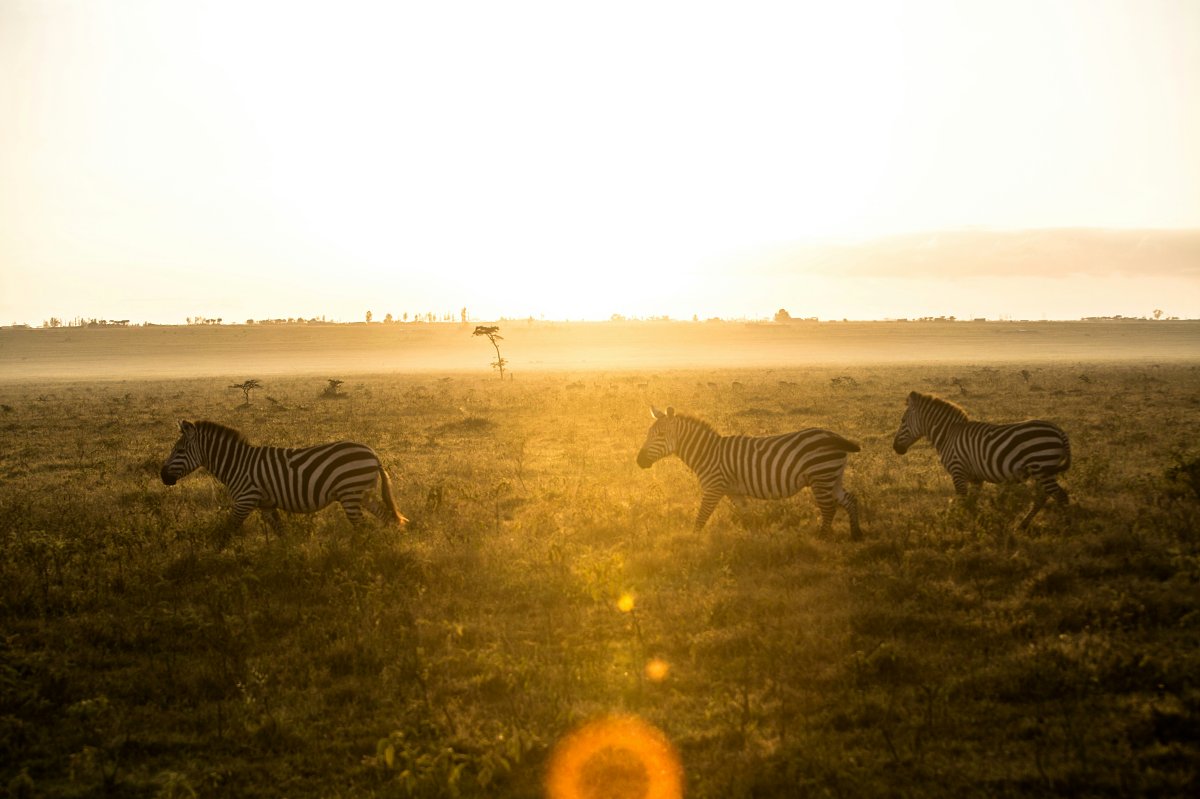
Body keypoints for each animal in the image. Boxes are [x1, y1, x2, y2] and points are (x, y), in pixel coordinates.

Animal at [160, 420, 407, 536]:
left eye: (179, 451)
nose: (163, 476)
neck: (237, 464)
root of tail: (374, 454)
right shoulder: (266, 505)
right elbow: (281, 533)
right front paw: (287, 556)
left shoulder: (245, 500)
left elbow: (227, 531)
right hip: (362, 493)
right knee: (387, 517)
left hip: (351, 493)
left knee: (363, 527)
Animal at [637, 406, 862, 539]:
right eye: (648, 434)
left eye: (661, 435)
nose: (639, 461)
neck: (708, 452)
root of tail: (833, 435)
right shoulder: (734, 491)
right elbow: (747, 516)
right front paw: (755, 540)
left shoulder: (714, 488)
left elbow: (701, 518)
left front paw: (694, 542)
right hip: (832, 478)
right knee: (850, 500)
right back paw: (856, 534)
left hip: (821, 477)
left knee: (829, 509)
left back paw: (823, 537)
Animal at [891, 391, 1071, 529]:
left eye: (902, 421)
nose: (895, 448)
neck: (948, 435)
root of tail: (1059, 430)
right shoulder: (976, 477)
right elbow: (972, 502)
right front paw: (976, 524)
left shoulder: (958, 470)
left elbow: (963, 500)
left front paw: (961, 526)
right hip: (1042, 471)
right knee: (1043, 497)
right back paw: (1023, 525)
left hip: (1041, 466)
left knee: (1060, 495)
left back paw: (1066, 528)